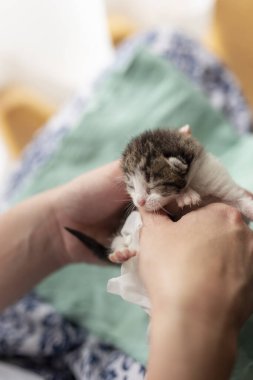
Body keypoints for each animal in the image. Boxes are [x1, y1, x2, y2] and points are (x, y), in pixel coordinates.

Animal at [108, 126, 253, 262]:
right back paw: (121, 253)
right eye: (131, 186)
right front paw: (186, 195)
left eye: (153, 186)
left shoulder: (216, 181)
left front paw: (249, 208)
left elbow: (238, 200)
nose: (140, 202)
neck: (194, 181)